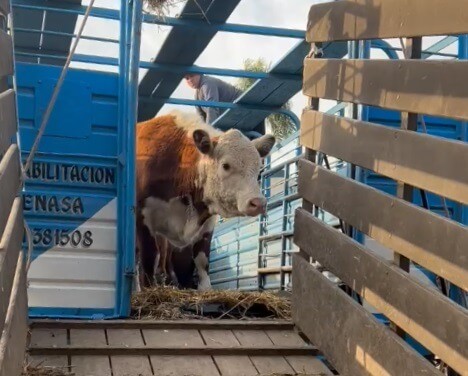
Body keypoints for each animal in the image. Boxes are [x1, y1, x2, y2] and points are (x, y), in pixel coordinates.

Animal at [135, 110, 274, 290]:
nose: (258, 203)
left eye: (258, 167)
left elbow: (202, 261)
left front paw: (205, 288)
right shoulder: (143, 218)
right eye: (225, 165)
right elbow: (149, 258)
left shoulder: (207, 224)